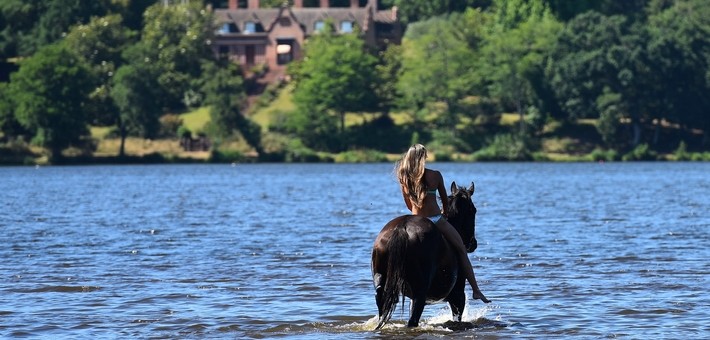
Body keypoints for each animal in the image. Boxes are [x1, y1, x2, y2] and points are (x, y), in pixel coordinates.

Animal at [370, 183, 482, 330]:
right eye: (473, 210)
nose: (473, 244)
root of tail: (401, 228)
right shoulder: (458, 296)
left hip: (381, 278)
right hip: (420, 291)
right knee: (413, 319)